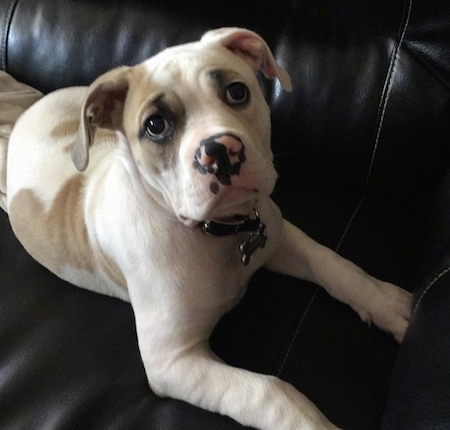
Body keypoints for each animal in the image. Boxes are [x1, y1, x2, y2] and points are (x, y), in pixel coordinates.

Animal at [2, 27, 412, 430]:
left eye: (237, 92)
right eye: (155, 125)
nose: (220, 150)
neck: (218, 233)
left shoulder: (277, 234)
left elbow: (332, 263)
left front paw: (389, 304)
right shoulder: (174, 361)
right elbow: (270, 393)